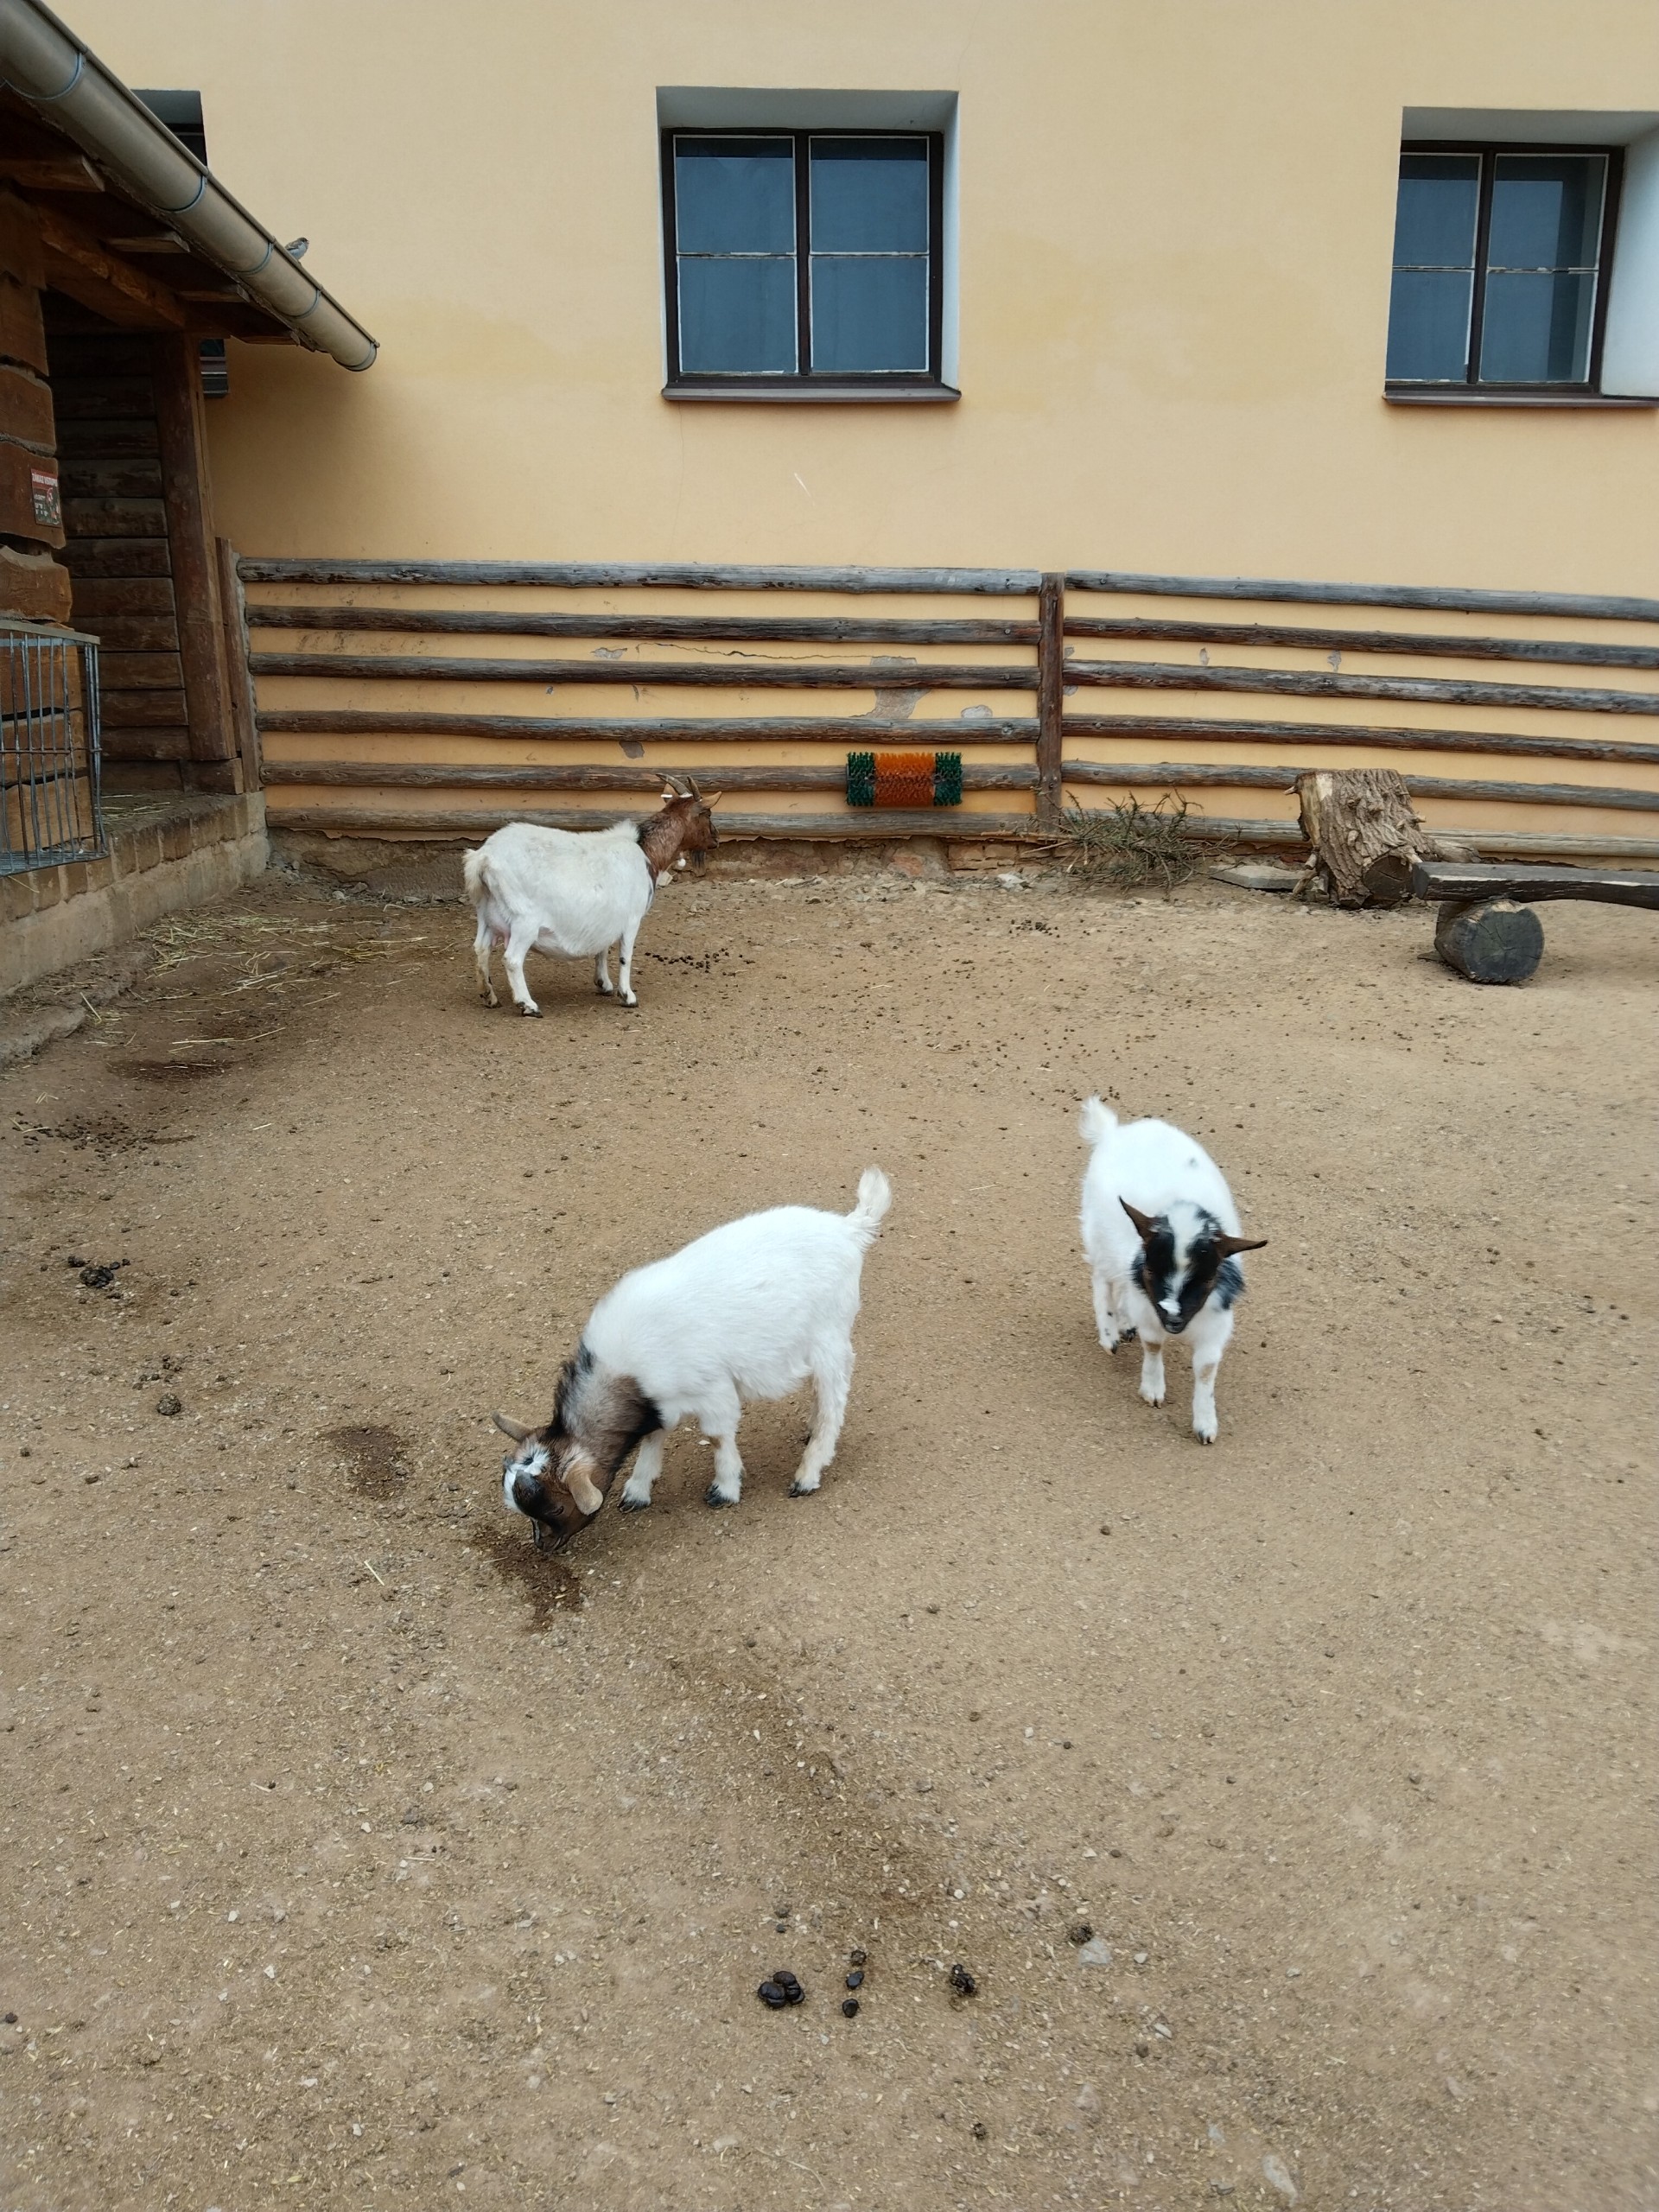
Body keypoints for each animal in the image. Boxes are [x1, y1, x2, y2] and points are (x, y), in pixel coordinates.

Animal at [463, 775, 720, 1016]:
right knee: (512, 959)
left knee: (480, 949)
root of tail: (484, 859)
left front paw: (603, 984)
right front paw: (627, 996)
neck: (646, 852)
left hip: (487, 914)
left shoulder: (606, 917)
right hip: (524, 920)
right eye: (707, 813)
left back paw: (489, 996)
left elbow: (602, 949)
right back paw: (528, 1005)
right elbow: (625, 956)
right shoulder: (632, 919)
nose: (716, 839)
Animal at [493, 1167, 892, 1546]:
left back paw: (808, 1473)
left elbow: (717, 1436)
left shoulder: (713, 1390)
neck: (624, 1371)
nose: (544, 1547)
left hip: (830, 1337)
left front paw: (725, 1489)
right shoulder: (660, 1401)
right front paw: (638, 1491)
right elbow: (654, 1437)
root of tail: (849, 1228)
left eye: (556, 1507)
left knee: (833, 1403)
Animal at [1078, 1097, 1265, 1444]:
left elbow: (1206, 1369)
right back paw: (1110, 1334)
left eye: (1206, 1276)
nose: (1174, 1320)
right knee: (1102, 1280)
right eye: (1153, 1270)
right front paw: (1152, 1391)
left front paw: (1206, 1425)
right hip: (1100, 1239)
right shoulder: (1150, 1310)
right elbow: (1153, 1345)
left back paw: (1124, 1324)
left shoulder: (1215, 1325)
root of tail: (1113, 1131)